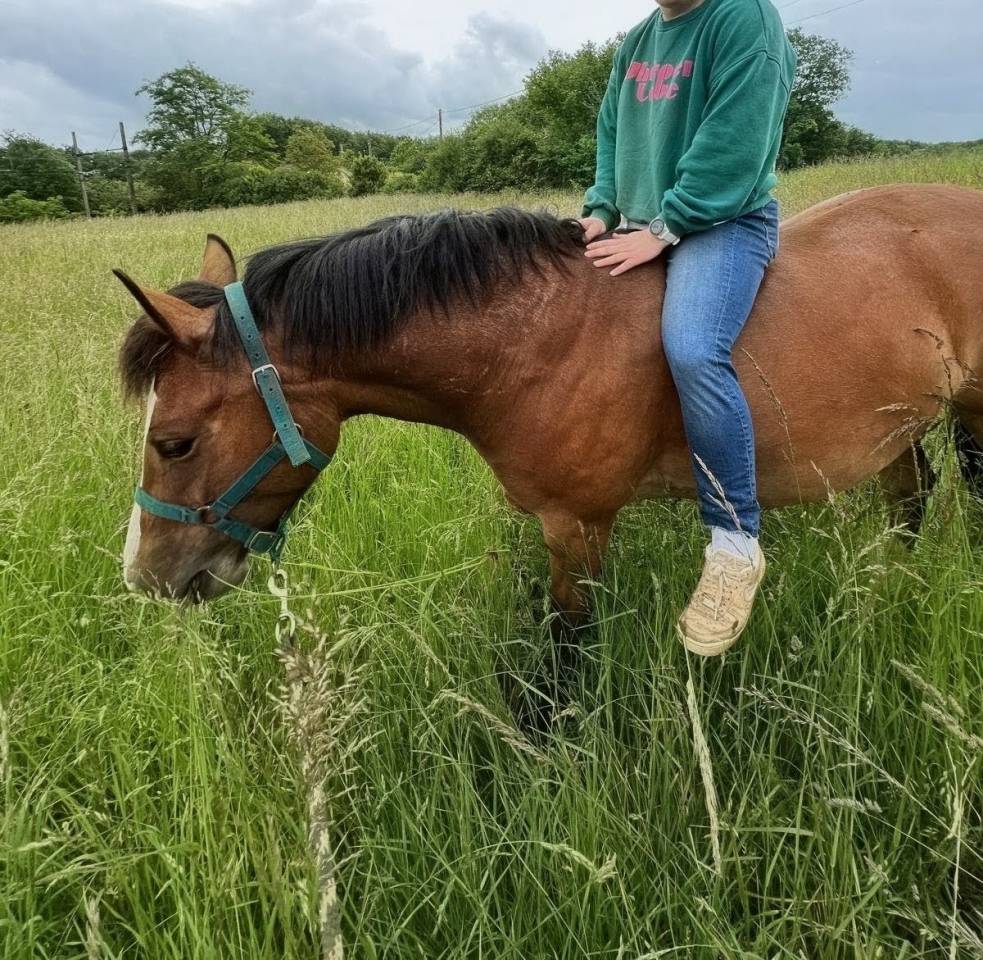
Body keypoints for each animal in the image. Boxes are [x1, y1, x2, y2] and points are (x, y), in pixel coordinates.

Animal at [117, 184, 983, 638]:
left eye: (176, 442)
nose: (144, 579)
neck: (535, 341)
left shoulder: (577, 528)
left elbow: (565, 652)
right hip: (896, 426)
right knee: (909, 496)